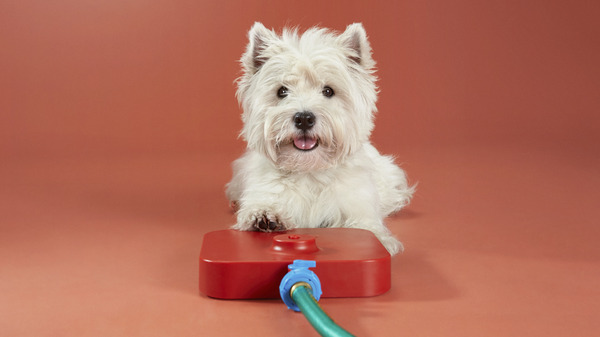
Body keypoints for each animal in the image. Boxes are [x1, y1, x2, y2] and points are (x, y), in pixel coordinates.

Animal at [225, 22, 412, 253]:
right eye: (282, 91)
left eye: (328, 91)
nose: (304, 118)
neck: (309, 170)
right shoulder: (264, 190)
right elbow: (263, 205)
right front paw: (264, 216)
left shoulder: (357, 204)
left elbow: (366, 226)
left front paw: (379, 241)